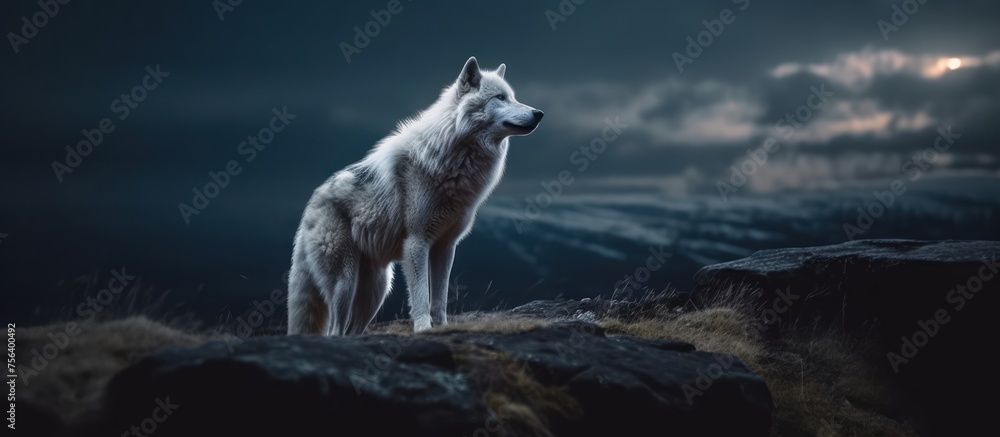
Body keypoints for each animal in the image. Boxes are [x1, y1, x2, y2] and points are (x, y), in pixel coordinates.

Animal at [287, 57, 543, 335]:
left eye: (513, 97)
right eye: (500, 98)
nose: (539, 113)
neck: (453, 155)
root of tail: (310, 205)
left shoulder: (445, 246)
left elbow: (439, 299)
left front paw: (441, 327)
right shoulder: (417, 243)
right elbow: (421, 296)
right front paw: (423, 329)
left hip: (376, 290)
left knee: (351, 331)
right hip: (345, 282)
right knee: (334, 331)